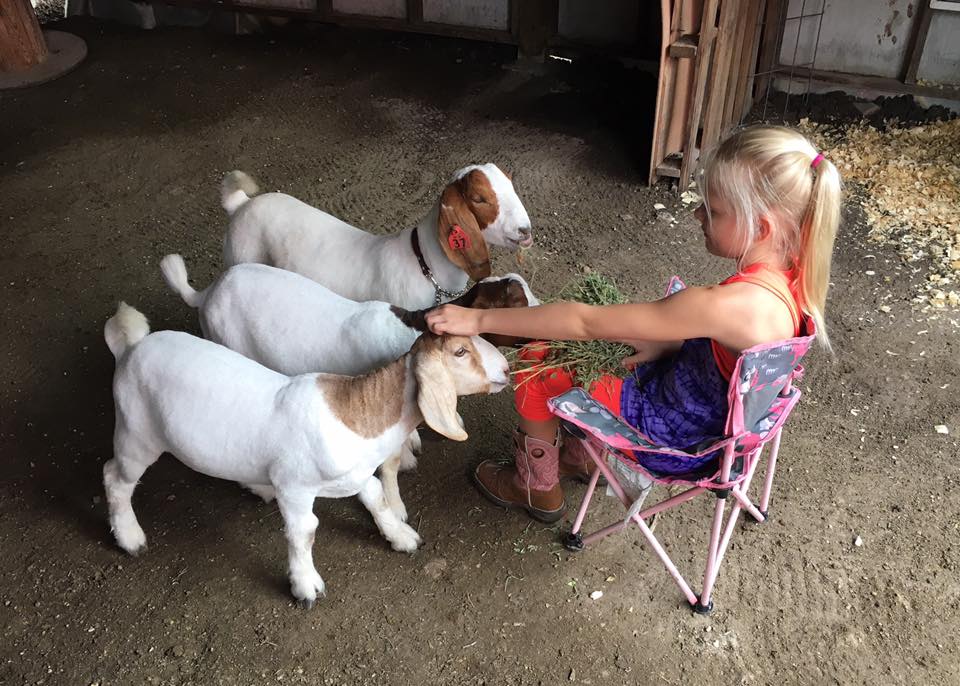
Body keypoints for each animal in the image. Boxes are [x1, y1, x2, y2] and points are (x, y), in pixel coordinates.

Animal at [103, 302, 509, 607]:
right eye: (460, 352)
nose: (506, 368)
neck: (355, 416)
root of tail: (132, 348)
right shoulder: (295, 488)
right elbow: (305, 533)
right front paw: (305, 585)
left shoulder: (355, 474)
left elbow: (377, 497)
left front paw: (400, 536)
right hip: (136, 434)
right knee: (115, 478)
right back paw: (130, 536)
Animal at [220, 163, 533, 309]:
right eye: (479, 198)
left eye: (510, 183)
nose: (525, 230)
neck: (424, 263)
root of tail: (241, 204)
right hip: (241, 252)